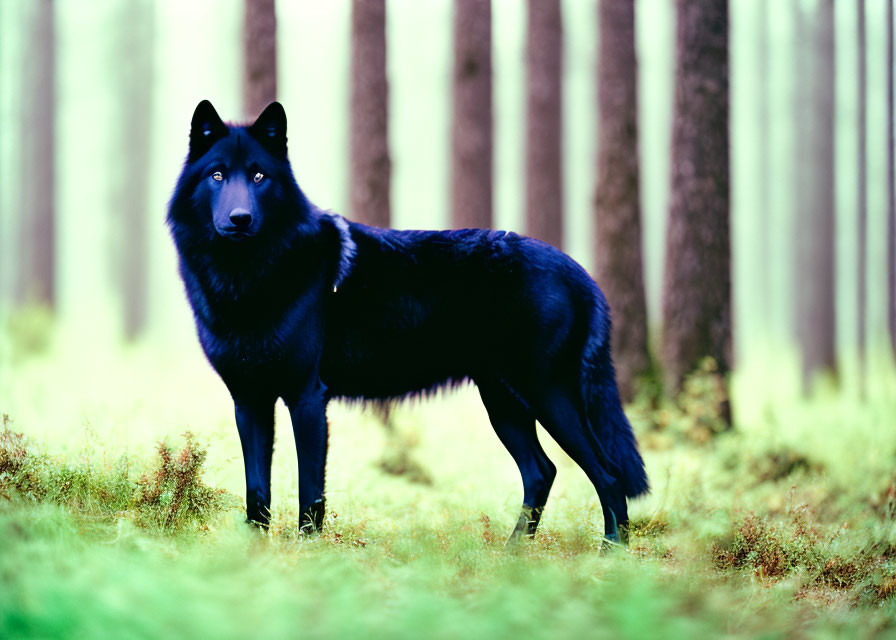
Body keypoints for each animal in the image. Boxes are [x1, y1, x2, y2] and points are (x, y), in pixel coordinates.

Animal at [166, 102, 644, 544]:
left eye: (259, 177)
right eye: (218, 176)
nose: (239, 219)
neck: (246, 279)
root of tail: (580, 272)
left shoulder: (307, 398)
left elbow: (310, 492)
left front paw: (309, 555)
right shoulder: (249, 401)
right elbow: (257, 491)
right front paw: (253, 555)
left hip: (547, 397)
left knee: (608, 474)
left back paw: (610, 555)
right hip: (505, 404)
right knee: (542, 472)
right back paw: (514, 555)